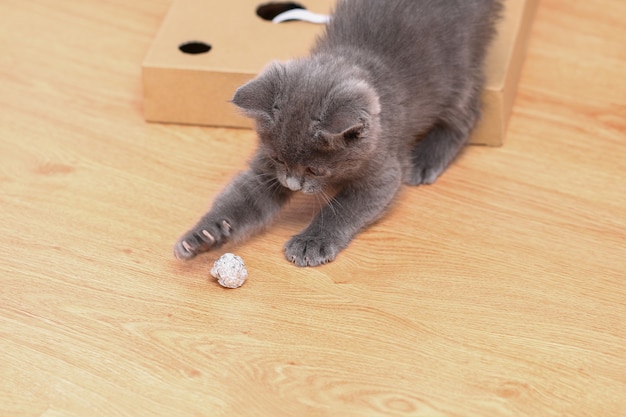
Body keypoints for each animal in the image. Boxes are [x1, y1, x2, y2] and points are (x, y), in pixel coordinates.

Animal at [174, 0, 502, 266]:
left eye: (314, 169)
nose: (292, 184)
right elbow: (242, 198)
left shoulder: (383, 170)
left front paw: (311, 242)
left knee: (468, 112)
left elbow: (343, 208)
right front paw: (205, 235)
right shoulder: (266, 171)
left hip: (458, 71)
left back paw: (426, 157)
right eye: (279, 160)